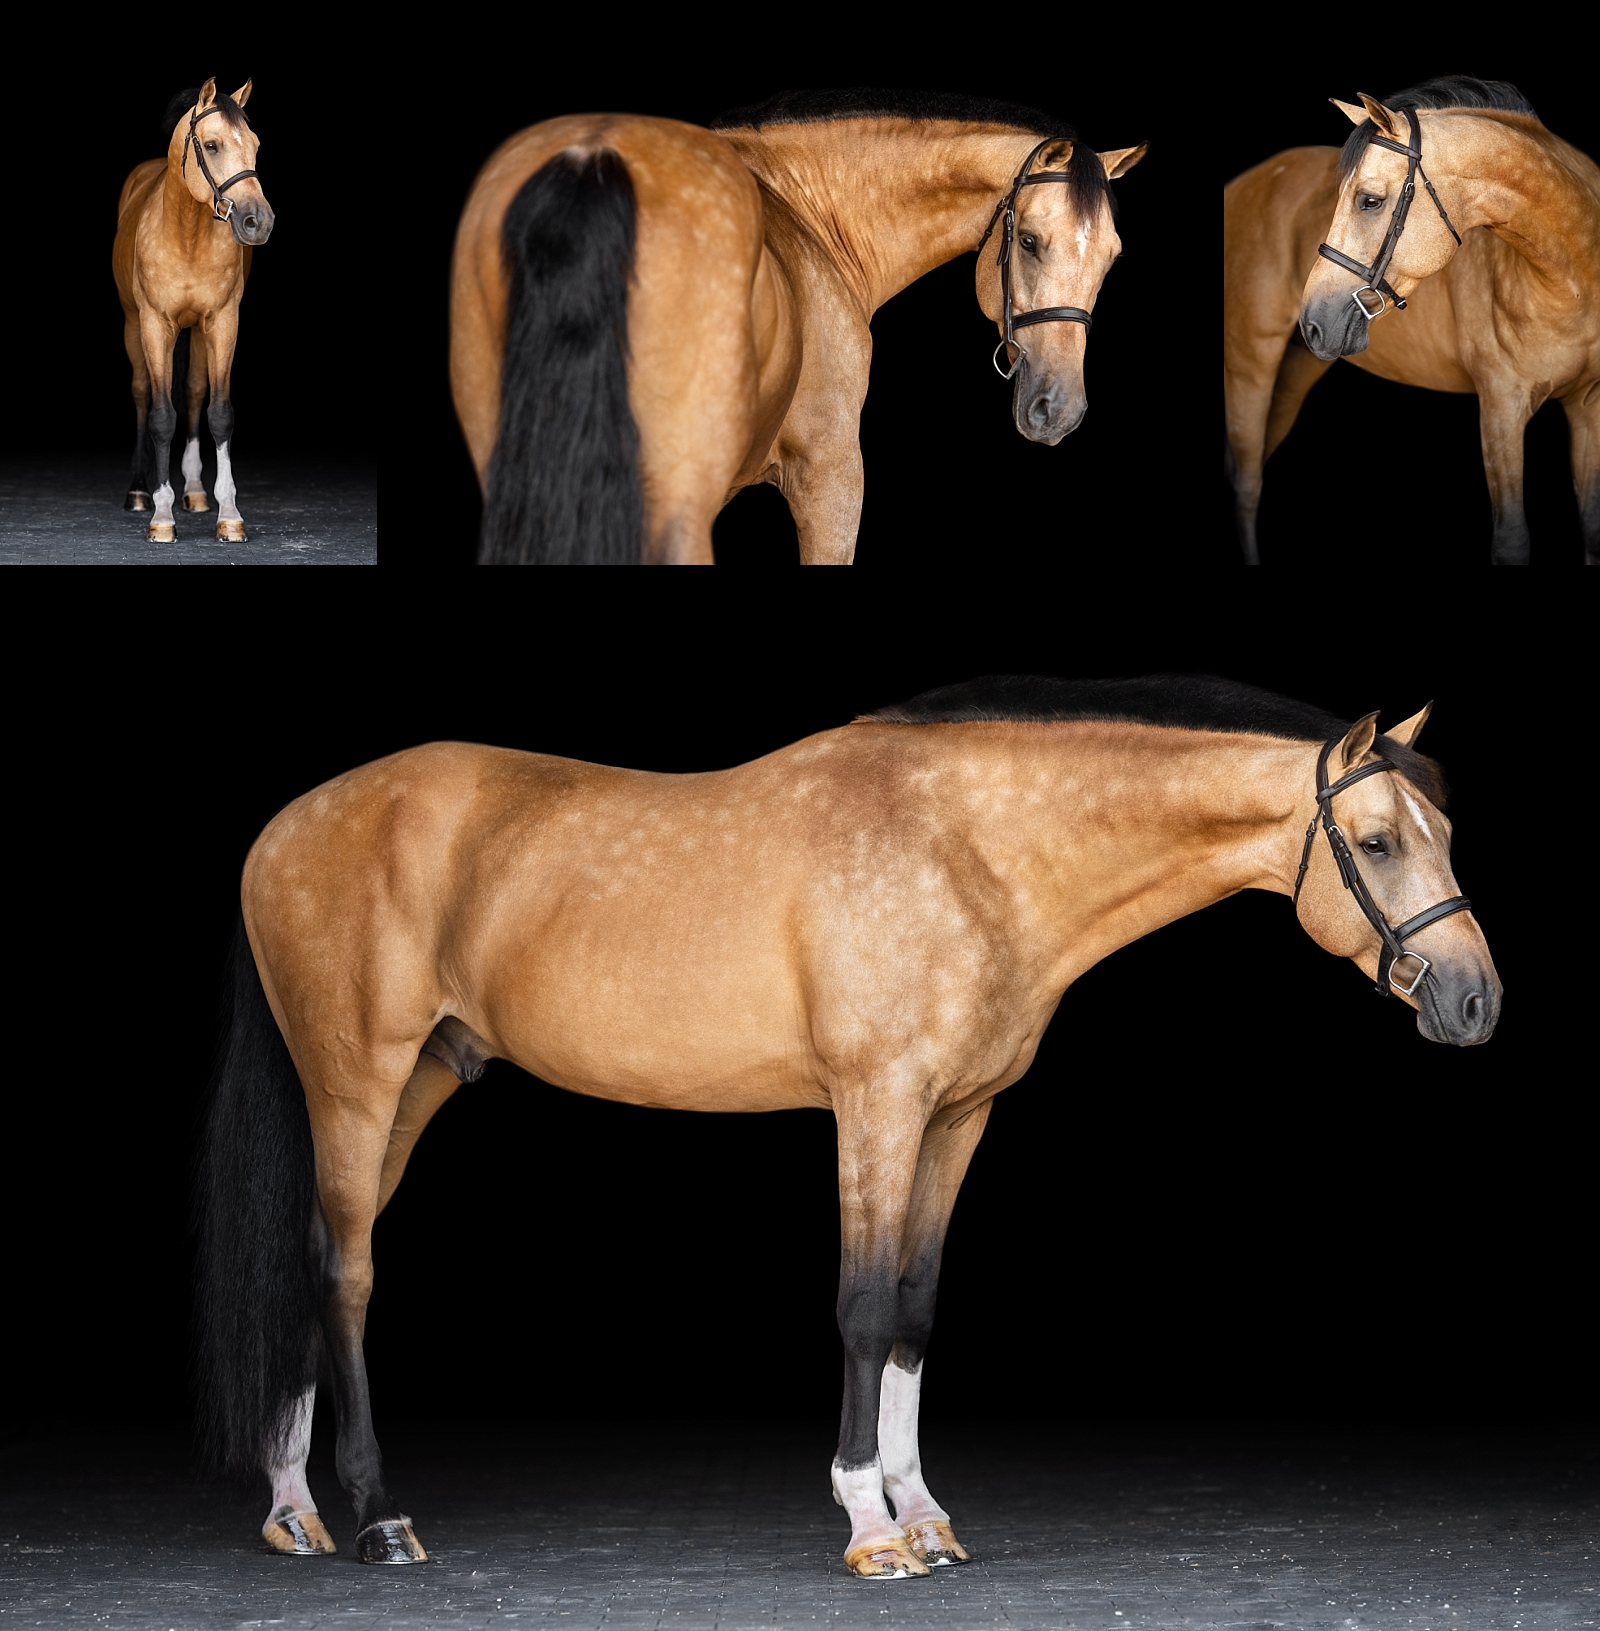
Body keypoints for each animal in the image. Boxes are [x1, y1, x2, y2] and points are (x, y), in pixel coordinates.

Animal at [113, 78, 274, 545]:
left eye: (255, 144)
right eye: (213, 145)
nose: (259, 221)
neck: (186, 235)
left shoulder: (222, 322)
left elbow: (219, 413)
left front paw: (229, 514)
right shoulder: (154, 325)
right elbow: (161, 416)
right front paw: (162, 516)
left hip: (199, 334)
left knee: (195, 392)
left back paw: (198, 492)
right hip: (134, 327)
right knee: (143, 395)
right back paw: (138, 492)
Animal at [196, 674, 1499, 1576]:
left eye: (1442, 834)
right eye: (1376, 841)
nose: (1474, 1000)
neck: (970, 850)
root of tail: (283, 826)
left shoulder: (958, 1115)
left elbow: (915, 1307)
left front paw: (926, 1516)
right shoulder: (877, 1103)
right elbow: (864, 1303)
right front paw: (871, 1524)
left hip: (415, 1087)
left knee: (316, 1265)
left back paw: (293, 1509)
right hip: (355, 1084)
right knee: (347, 1275)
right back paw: (377, 1519)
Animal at [448, 90, 1146, 563]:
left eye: (1112, 257)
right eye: (1028, 241)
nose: (1059, 409)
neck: (805, 209)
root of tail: (593, 157)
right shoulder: (830, 474)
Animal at [1223, 75, 1600, 566]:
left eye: (1370, 201)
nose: (1313, 322)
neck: (1571, 285)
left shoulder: (1589, 406)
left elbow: (1592, 526)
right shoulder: (1502, 406)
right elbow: (1512, 540)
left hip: (1294, 370)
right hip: (1249, 366)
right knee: (1247, 483)